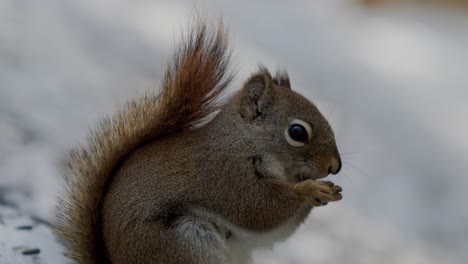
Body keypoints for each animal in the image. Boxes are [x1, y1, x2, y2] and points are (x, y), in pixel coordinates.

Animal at [54, 19, 342, 264]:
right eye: (297, 132)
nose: (334, 166)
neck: (243, 143)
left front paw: (328, 191)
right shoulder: (226, 176)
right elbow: (261, 209)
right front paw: (311, 190)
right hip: (185, 243)